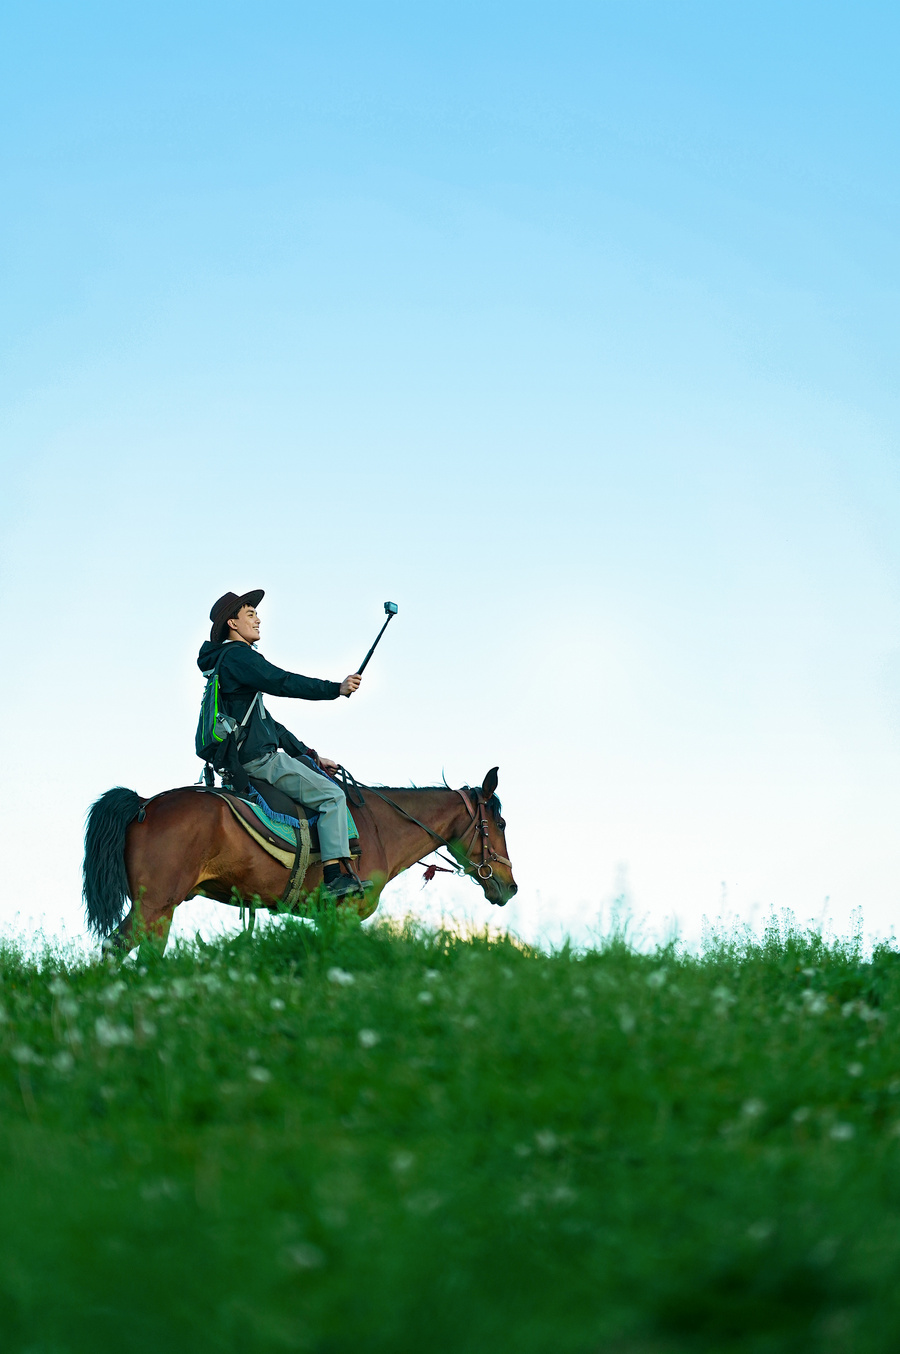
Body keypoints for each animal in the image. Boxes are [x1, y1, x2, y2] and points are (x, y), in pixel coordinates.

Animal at [84, 769, 519, 947]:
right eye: (499, 822)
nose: (510, 886)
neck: (379, 827)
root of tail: (144, 803)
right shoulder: (344, 915)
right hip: (153, 906)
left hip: (161, 910)